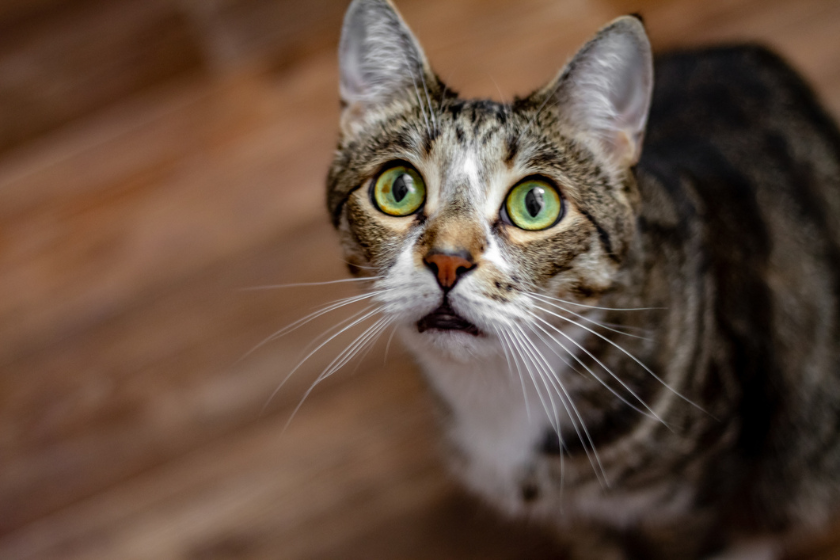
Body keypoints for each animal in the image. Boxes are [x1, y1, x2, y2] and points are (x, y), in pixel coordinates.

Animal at [322, 2, 840, 556]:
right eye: (399, 189)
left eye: (534, 204)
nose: (447, 261)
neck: (495, 387)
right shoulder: (573, 519)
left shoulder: (690, 502)